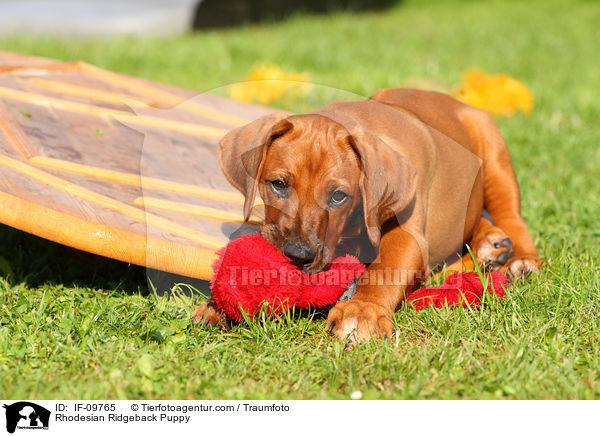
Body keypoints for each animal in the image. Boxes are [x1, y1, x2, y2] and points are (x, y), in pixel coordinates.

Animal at [193, 88, 544, 344]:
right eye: (278, 184)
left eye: (338, 196)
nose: (298, 256)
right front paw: (217, 307)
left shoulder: (407, 236)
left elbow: (385, 267)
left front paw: (362, 310)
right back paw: (490, 243)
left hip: (493, 151)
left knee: (512, 215)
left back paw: (520, 260)